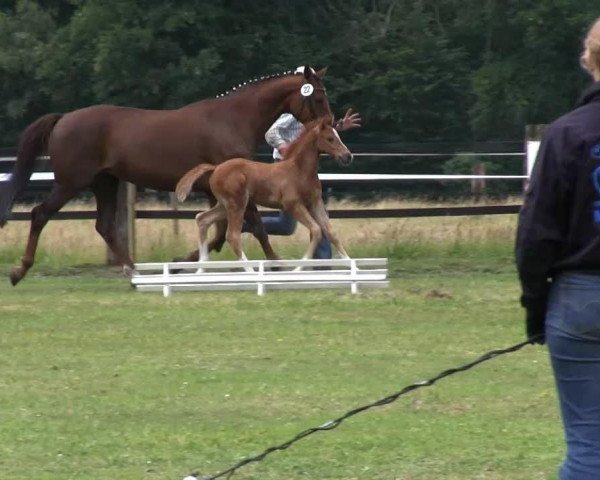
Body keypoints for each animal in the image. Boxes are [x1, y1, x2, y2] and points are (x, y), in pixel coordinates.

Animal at [173, 116, 352, 270]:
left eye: (338, 136)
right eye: (330, 138)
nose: (348, 156)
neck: (299, 171)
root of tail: (216, 167)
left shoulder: (315, 203)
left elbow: (331, 232)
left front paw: (352, 265)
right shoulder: (293, 205)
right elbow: (316, 230)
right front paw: (298, 267)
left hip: (225, 205)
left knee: (202, 218)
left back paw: (201, 265)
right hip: (236, 204)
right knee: (232, 235)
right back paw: (249, 270)